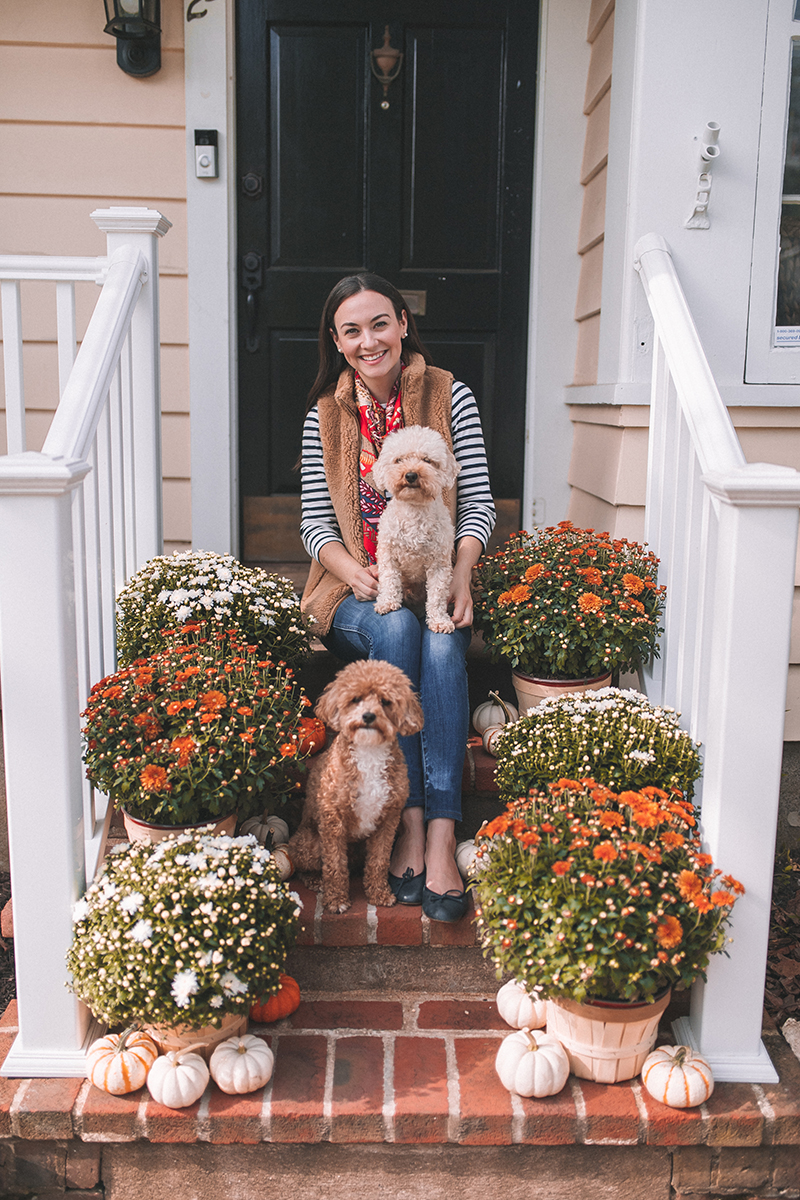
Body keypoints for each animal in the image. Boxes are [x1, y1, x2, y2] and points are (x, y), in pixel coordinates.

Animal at [287, 657, 424, 907]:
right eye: (355, 699)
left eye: (385, 701)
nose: (368, 716)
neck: (369, 750)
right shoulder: (333, 821)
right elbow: (334, 865)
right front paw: (336, 899)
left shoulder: (388, 820)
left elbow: (379, 861)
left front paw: (379, 893)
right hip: (309, 844)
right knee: (304, 865)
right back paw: (316, 881)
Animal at [371, 424, 460, 633]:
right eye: (399, 460)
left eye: (427, 460)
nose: (410, 475)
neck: (414, 510)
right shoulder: (388, 554)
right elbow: (389, 580)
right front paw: (387, 603)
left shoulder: (439, 565)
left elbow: (437, 596)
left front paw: (440, 620)